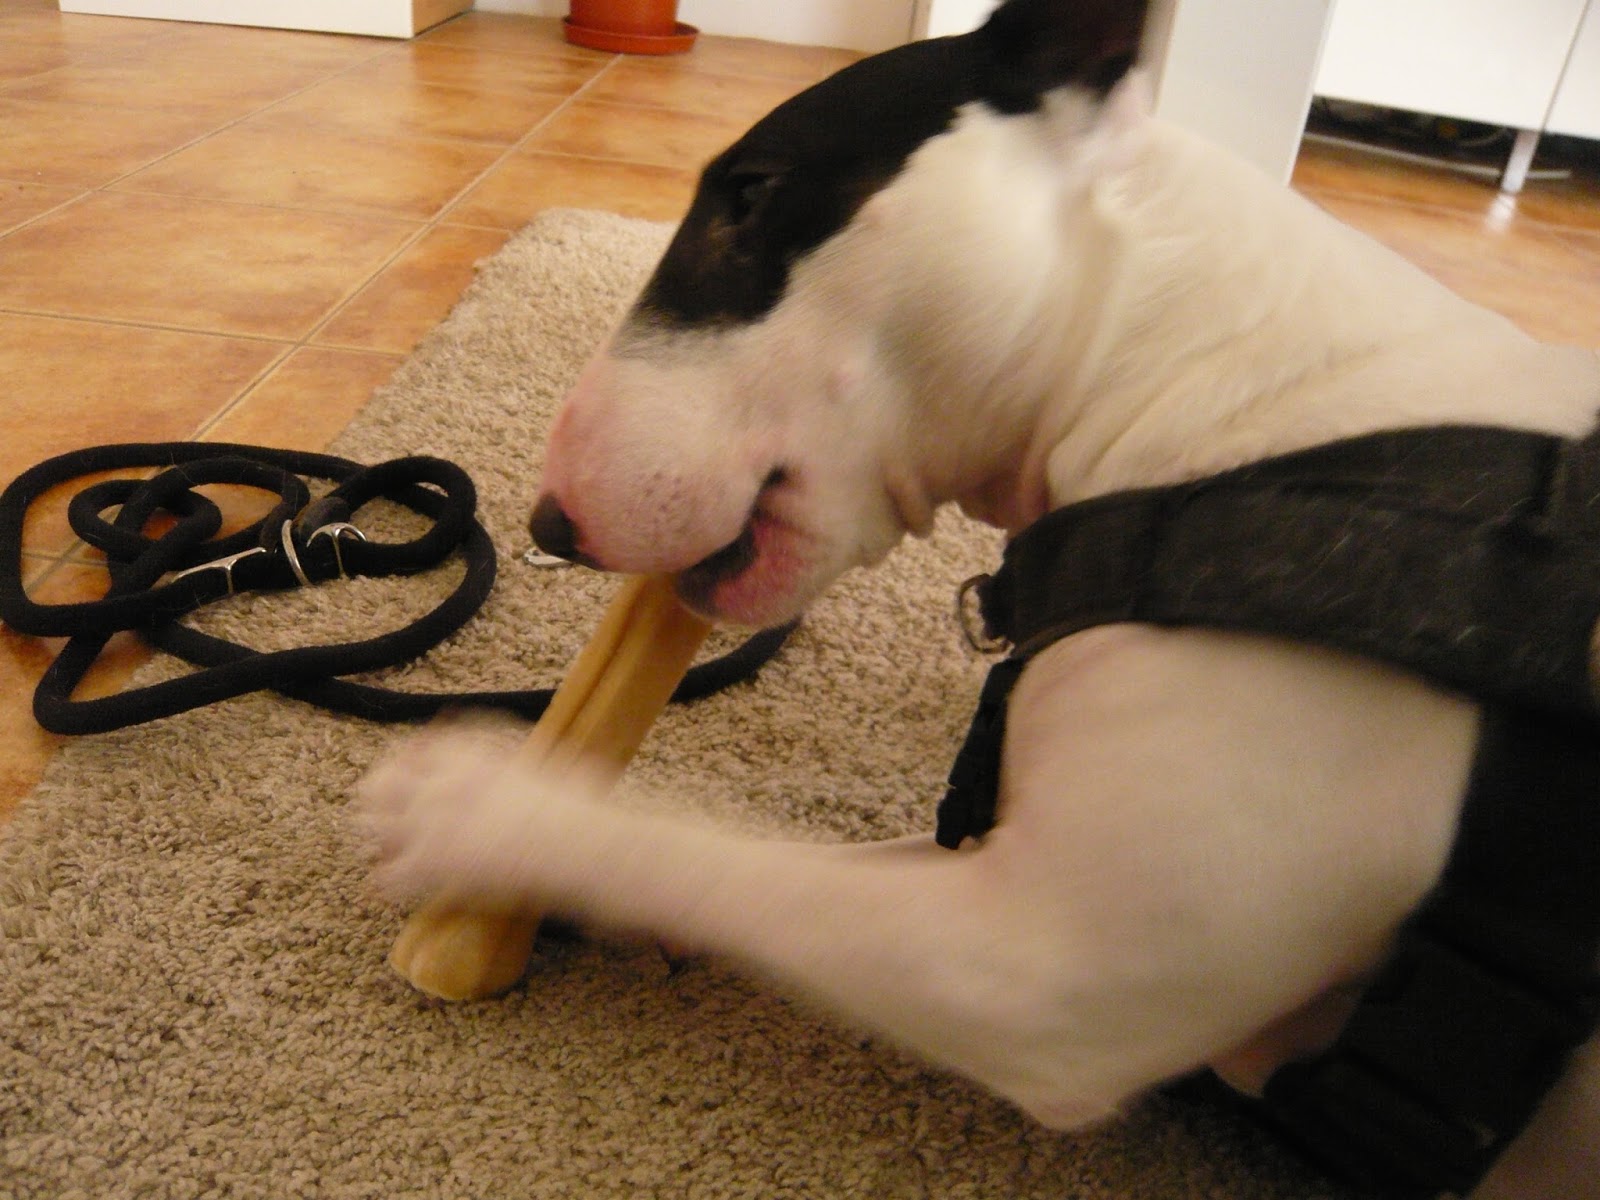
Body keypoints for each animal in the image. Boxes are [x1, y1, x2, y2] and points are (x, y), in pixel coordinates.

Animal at [357, 1, 1600, 1194]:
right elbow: (795, 864)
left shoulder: (1050, 966)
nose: (547, 526)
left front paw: (483, 813)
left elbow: (737, 867)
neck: (1224, 391)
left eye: (749, 195)